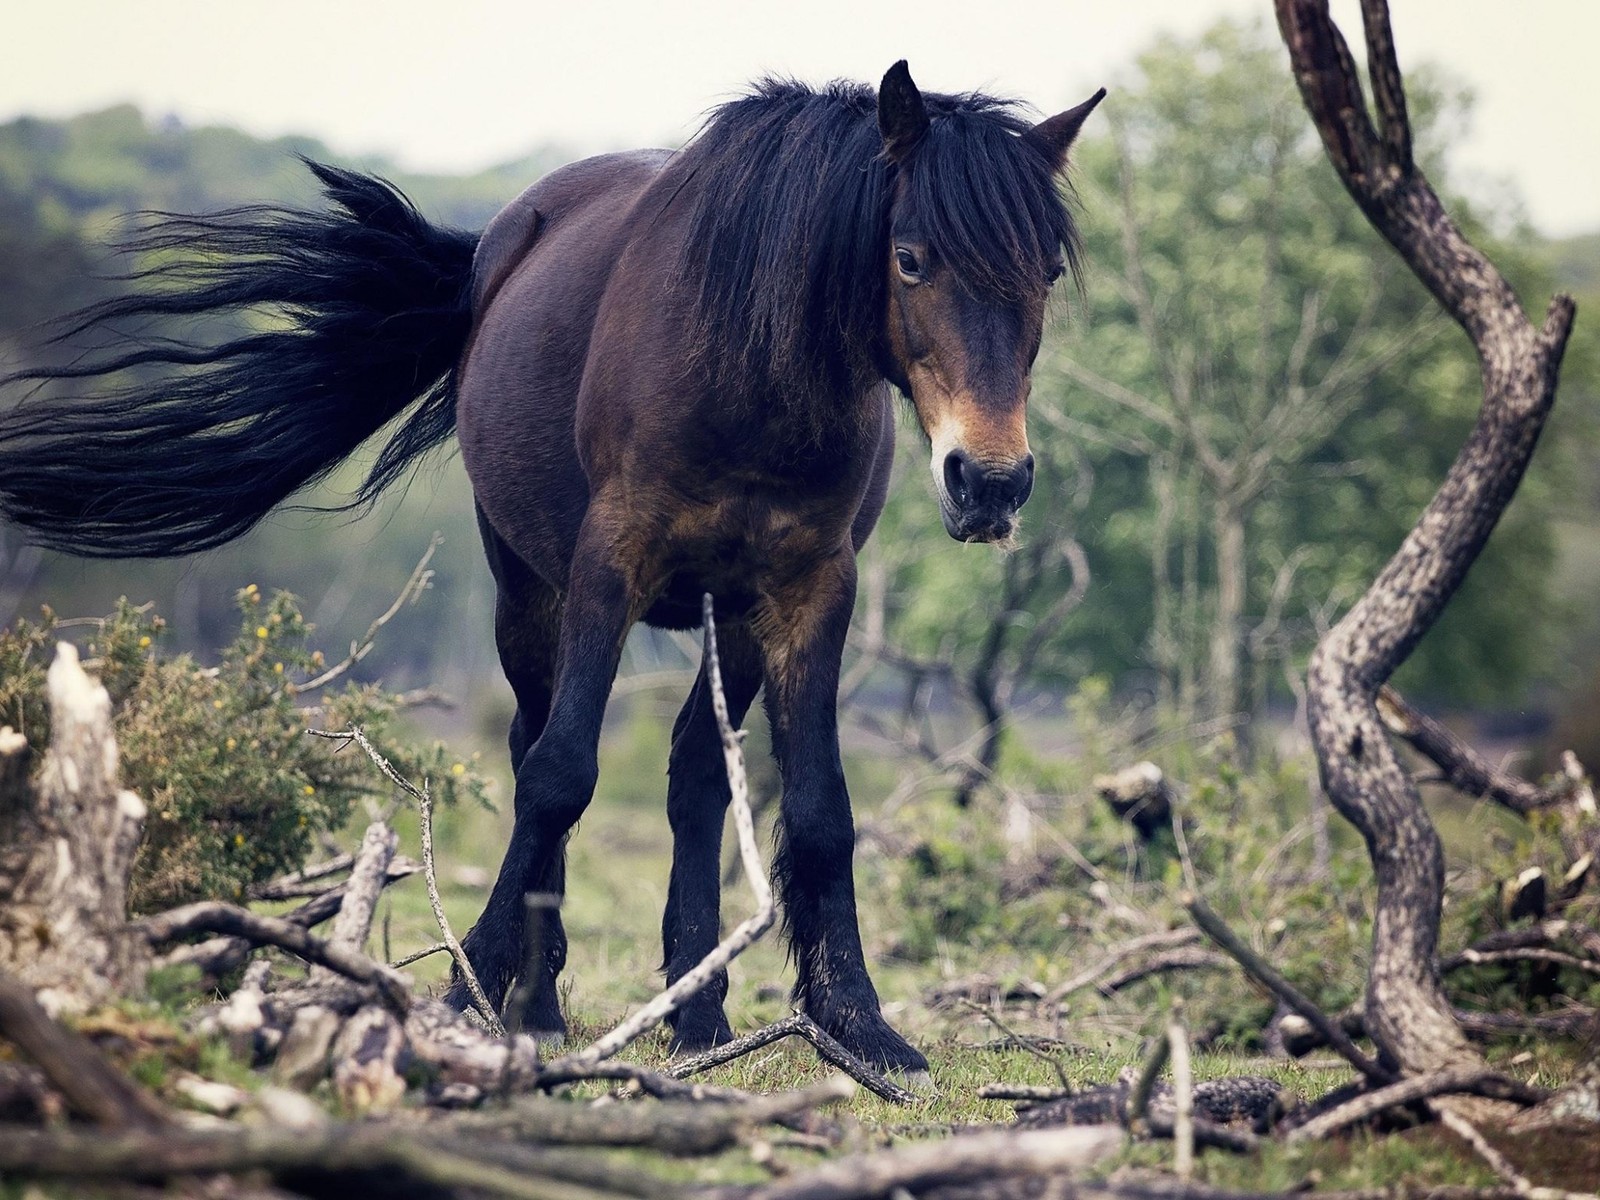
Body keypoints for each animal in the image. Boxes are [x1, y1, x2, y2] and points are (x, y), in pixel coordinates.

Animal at [0, 63, 1100, 1068]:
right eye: (910, 258)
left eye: (1044, 274)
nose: (989, 482)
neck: (749, 374)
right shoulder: (609, 567)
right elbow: (560, 774)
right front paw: (475, 988)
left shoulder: (808, 589)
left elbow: (822, 807)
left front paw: (859, 1024)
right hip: (526, 593)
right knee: (539, 742)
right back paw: (537, 999)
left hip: (727, 620)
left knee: (695, 778)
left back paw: (697, 1012)